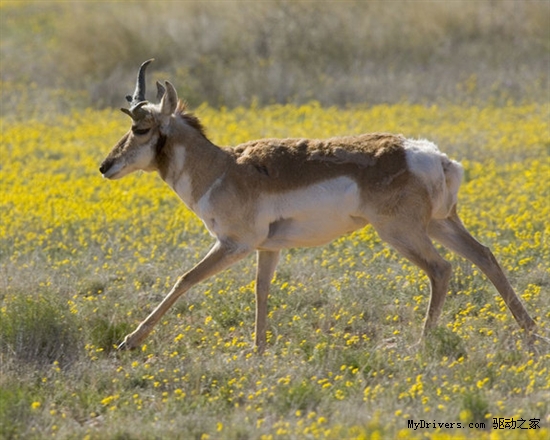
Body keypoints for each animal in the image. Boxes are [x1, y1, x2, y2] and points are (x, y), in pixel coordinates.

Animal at [100, 60, 540, 352]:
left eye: (140, 127)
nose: (105, 166)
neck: (223, 167)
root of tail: (432, 156)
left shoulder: (232, 245)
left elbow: (185, 279)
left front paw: (129, 341)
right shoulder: (267, 249)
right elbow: (261, 290)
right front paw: (258, 349)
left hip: (401, 233)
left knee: (442, 269)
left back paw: (421, 342)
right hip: (440, 225)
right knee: (484, 255)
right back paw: (531, 332)